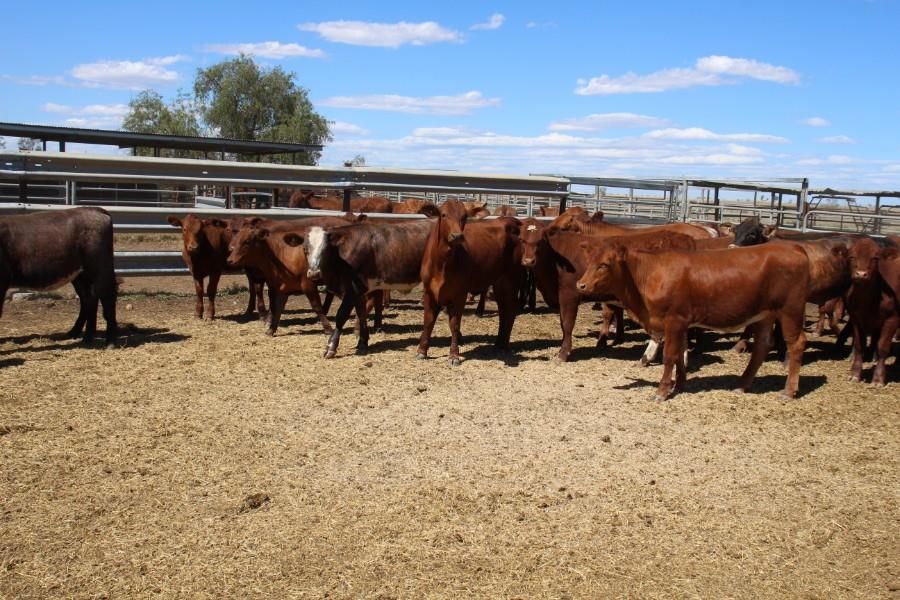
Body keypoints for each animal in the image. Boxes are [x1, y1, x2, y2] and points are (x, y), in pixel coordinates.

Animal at [0, 207, 117, 347]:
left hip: (100, 268)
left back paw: (110, 341)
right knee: (89, 299)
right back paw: (81, 336)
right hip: (80, 275)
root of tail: (95, 209)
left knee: (107, 298)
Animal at [300, 218, 434, 358]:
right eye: (305, 249)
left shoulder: (352, 290)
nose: (314, 273)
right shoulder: (359, 292)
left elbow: (341, 316)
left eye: (326, 250)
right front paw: (363, 342)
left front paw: (331, 347)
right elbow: (361, 314)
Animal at [417, 200, 525, 365]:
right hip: (500, 282)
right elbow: (428, 322)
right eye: (443, 214)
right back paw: (498, 343)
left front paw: (454, 355)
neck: (442, 262)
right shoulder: (429, 291)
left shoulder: (460, 294)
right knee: (503, 310)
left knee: (510, 310)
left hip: (512, 279)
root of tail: (508, 220)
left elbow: (454, 324)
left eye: (464, 217)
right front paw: (422, 351)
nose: (457, 236)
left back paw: (504, 345)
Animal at [576, 242, 812, 400]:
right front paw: (680, 384)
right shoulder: (682, 324)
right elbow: (681, 354)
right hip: (764, 315)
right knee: (762, 346)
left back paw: (789, 391)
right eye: (590, 261)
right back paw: (742, 384)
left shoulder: (674, 320)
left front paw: (662, 391)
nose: (581, 285)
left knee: (797, 343)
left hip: (790, 311)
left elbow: (670, 356)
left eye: (604, 265)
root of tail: (794, 247)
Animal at [844, 237, 899, 385]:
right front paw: (855, 374)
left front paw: (878, 378)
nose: (861, 274)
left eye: (875, 258)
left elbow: (883, 347)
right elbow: (859, 346)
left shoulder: (892, 319)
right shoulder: (855, 318)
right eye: (851, 256)